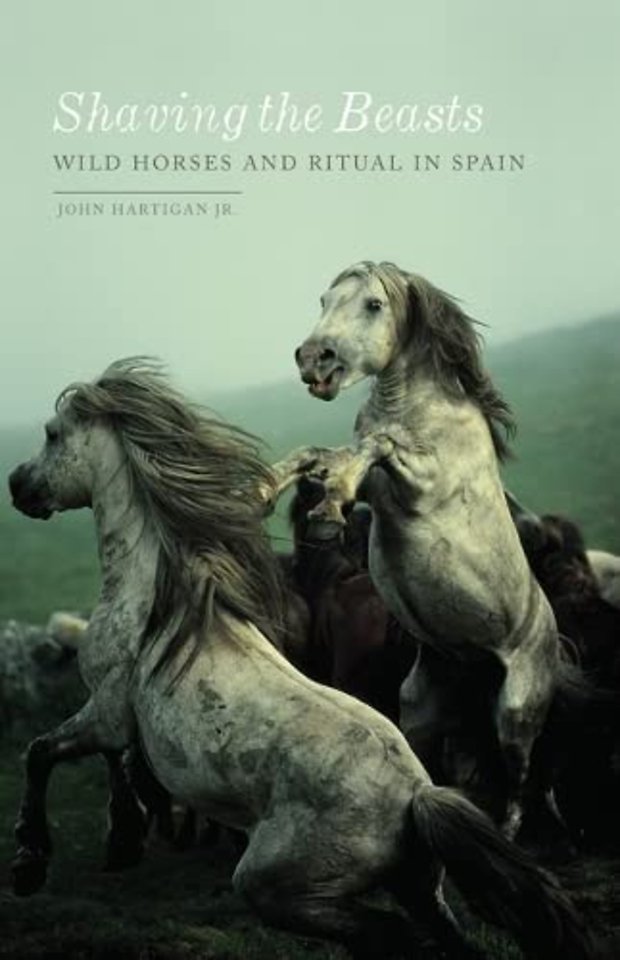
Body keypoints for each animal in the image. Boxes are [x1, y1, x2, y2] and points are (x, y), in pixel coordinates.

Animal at [7, 358, 597, 960]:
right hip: (417, 887)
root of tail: (417, 795)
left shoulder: (107, 711)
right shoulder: (118, 721)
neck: (158, 599)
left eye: (52, 434)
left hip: (275, 885)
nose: (18, 486)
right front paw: (122, 837)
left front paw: (33, 862)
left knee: (388, 933)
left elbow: (40, 752)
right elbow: (105, 762)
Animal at [269, 261, 564, 838]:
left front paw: (328, 509)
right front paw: (264, 488)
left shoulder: (421, 482)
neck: (417, 411)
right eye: (324, 301)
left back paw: (508, 832)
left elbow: (376, 446)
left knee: (520, 776)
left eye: (373, 305)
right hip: (422, 709)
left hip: (516, 711)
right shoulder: (378, 490)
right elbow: (320, 454)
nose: (314, 359)